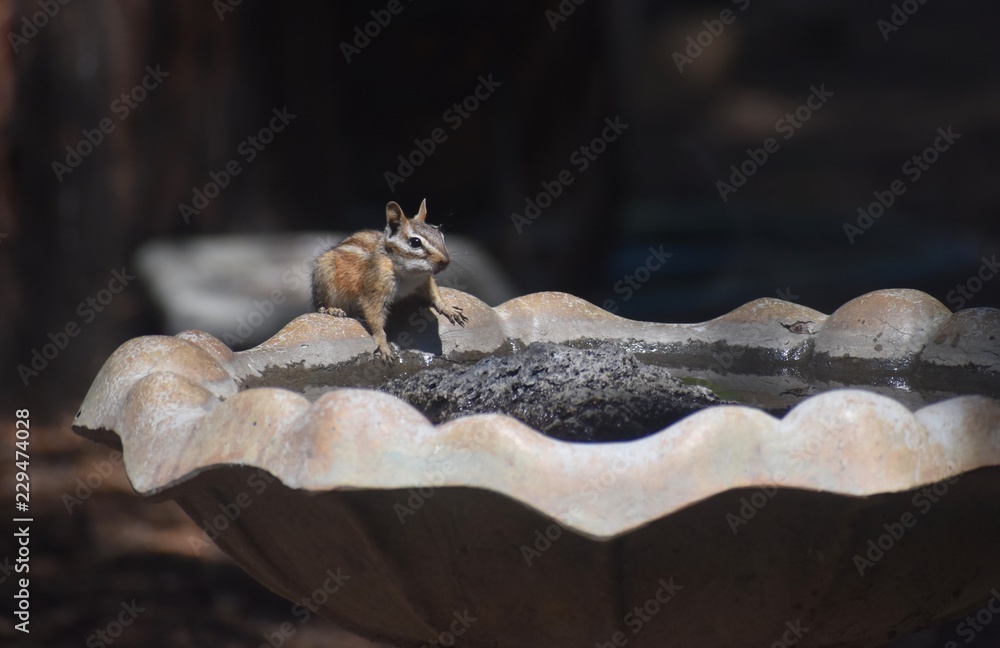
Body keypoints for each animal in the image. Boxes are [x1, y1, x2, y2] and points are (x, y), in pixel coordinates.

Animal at [312, 199, 468, 362]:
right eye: (415, 242)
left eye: (441, 234)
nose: (445, 261)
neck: (410, 274)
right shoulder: (375, 287)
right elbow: (373, 315)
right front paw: (382, 343)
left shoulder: (425, 280)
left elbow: (435, 294)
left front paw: (448, 308)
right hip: (326, 279)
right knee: (319, 306)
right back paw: (333, 310)